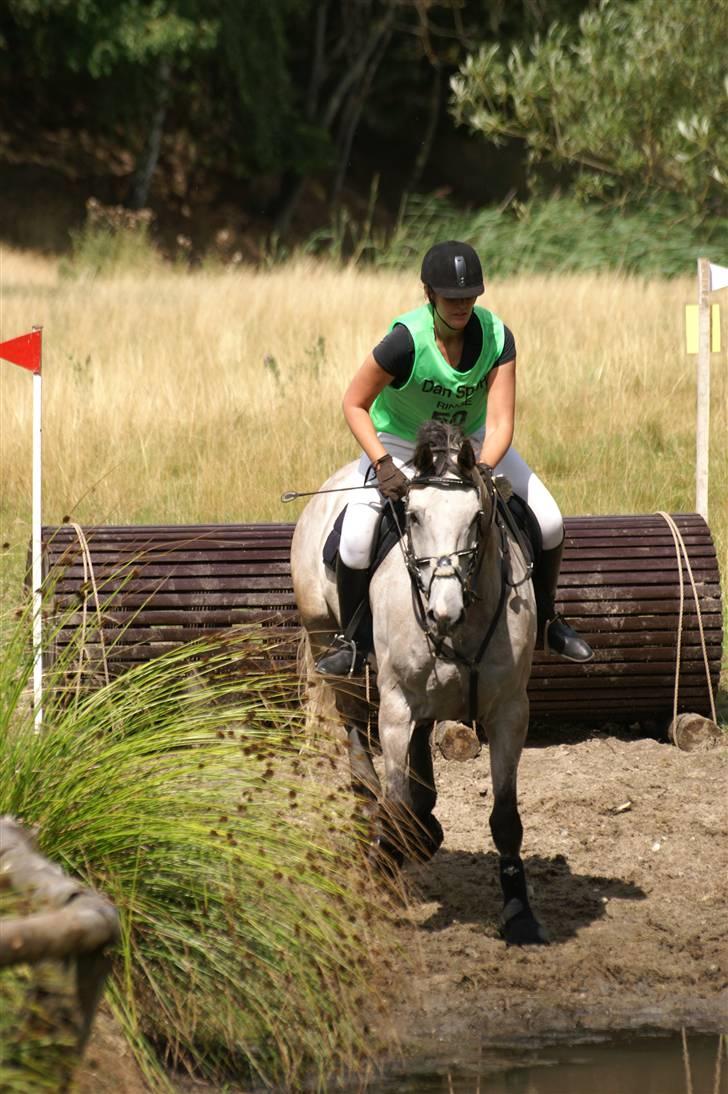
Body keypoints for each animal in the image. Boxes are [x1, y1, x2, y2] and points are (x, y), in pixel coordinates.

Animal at [289, 422, 545, 945]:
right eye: (412, 515)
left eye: (477, 518)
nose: (443, 610)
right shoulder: (395, 708)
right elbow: (394, 795)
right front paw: (385, 863)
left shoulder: (510, 712)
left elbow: (506, 816)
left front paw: (519, 913)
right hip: (327, 639)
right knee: (354, 732)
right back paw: (380, 810)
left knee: (422, 745)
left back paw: (424, 827)